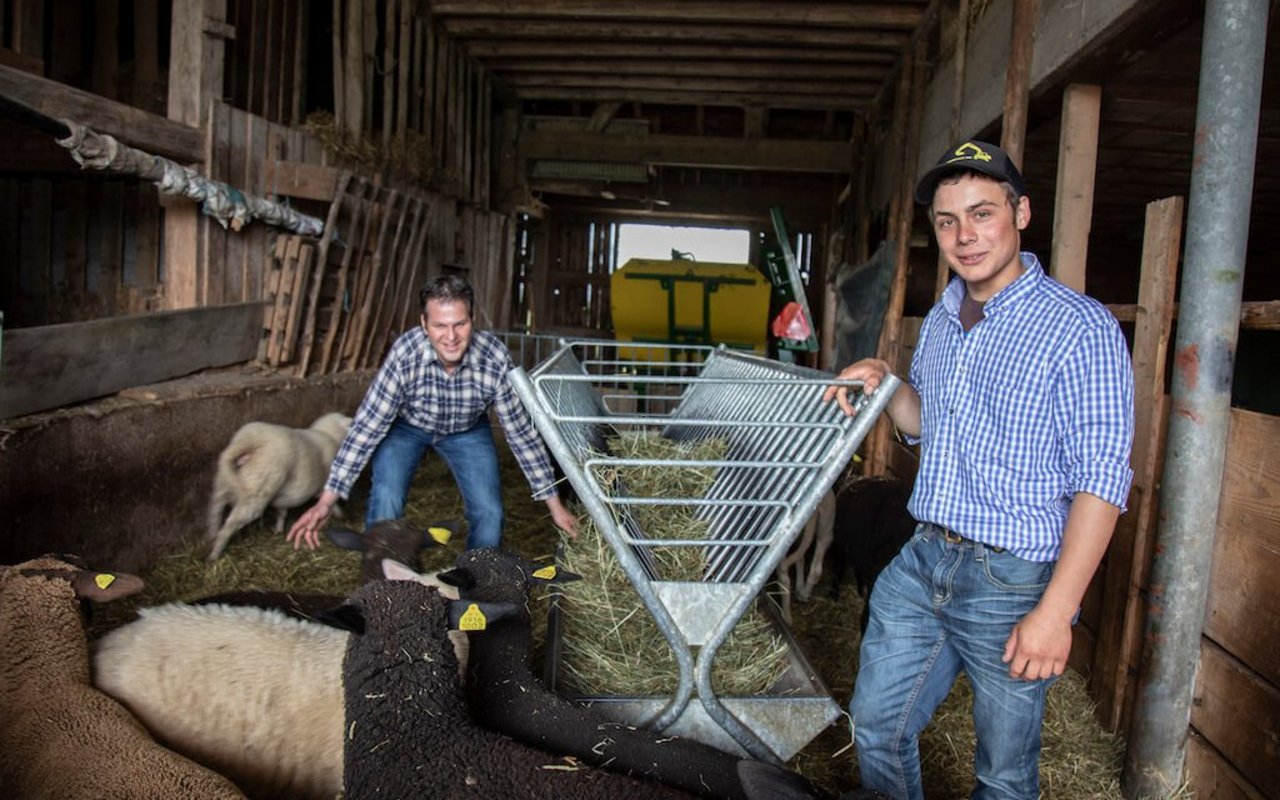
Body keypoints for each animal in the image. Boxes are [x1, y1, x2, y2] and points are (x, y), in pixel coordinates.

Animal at [207, 412, 353, 560]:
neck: (331, 435)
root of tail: (249, 441)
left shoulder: (284, 497)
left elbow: (281, 513)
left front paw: (278, 529)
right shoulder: (325, 485)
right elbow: (331, 503)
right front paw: (340, 515)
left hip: (223, 483)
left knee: (215, 509)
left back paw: (212, 536)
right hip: (256, 492)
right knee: (228, 527)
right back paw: (214, 554)